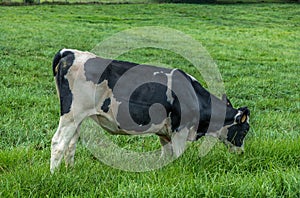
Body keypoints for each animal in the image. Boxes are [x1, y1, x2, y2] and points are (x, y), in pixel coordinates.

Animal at [50, 48, 250, 172]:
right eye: (244, 131)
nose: (242, 153)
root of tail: (70, 53)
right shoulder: (180, 130)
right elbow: (178, 156)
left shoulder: (165, 132)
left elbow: (166, 155)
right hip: (71, 114)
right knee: (58, 143)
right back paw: (54, 175)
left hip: (79, 118)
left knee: (70, 144)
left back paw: (70, 170)